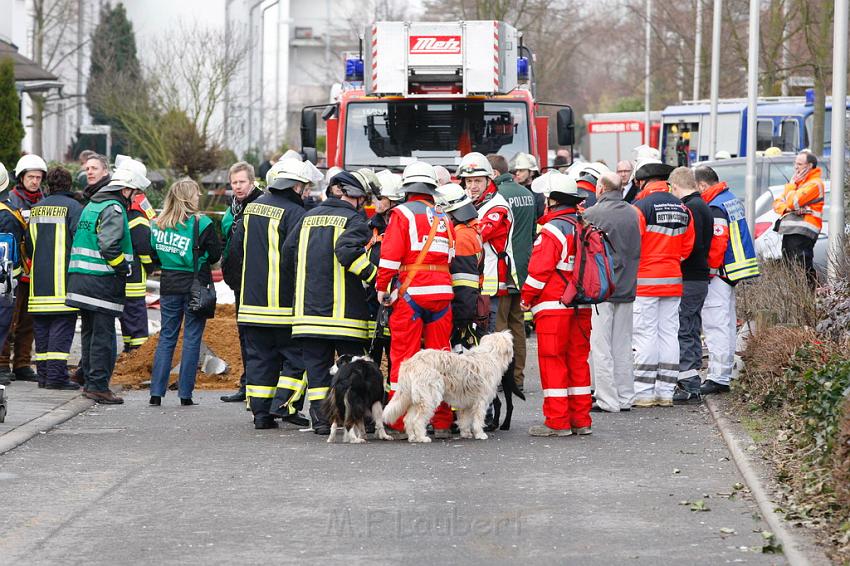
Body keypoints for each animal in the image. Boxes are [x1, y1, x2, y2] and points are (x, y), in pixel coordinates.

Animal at [382, 330, 512, 446]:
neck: (490, 355)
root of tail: (411, 363)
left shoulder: (466, 402)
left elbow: (465, 419)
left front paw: (466, 433)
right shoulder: (480, 401)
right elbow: (478, 419)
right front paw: (480, 434)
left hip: (417, 398)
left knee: (408, 419)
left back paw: (412, 437)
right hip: (429, 398)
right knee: (417, 420)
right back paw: (422, 437)